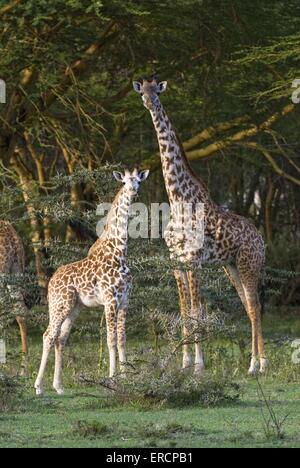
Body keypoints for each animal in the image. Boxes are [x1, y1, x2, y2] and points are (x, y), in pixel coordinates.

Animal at [34, 168, 149, 394]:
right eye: (124, 182)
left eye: (139, 181)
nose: (134, 191)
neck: (119, 252)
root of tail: (51, 282)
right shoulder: (110, 299)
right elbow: (111, 339)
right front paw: (112, 379)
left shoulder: (125, 300)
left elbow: (122, 339)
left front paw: (126, 378)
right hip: (60, 304)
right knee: (48, 335)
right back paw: (39, 387)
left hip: (74, 307)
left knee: (61, 338)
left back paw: (59, 386)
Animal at [134, 77, 268, 376]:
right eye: (142, 92)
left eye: (156, 92)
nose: (148, 102)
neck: (177, 199)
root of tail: (260, 238)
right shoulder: (176, 260)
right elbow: (184, 312)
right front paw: (184, 363)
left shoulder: (193, 259)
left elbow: (196, 312)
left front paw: (199, 365)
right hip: (231, 266)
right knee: (247, 305)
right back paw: (255, 362)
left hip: (249, 264)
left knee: (255, 306)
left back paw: (258, 364)